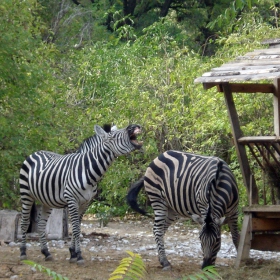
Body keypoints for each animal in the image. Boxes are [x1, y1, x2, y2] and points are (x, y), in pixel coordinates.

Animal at [19, 123, 142, 264]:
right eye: (115, 136)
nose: (135, 126)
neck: (88, 171)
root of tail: (36, 152)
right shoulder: (72, 200)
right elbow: (76, 229)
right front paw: (78, 256)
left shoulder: (85, 203)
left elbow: (76, 226)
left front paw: (72, 253)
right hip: (26, 194)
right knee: (24, 222)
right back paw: (23, 252)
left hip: (46, 200)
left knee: (41, 224)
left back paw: (46, 252)